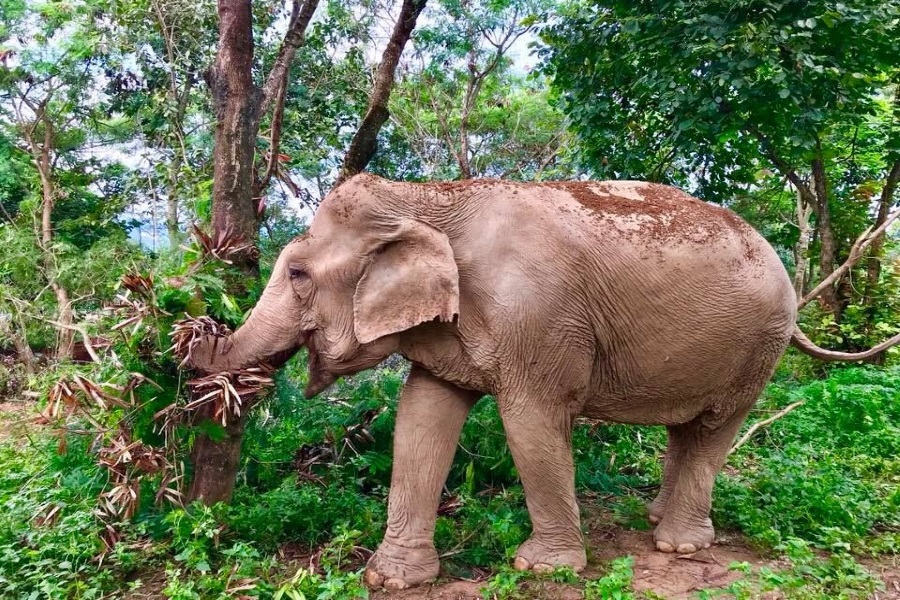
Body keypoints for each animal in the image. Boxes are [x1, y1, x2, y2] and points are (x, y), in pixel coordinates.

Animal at [186, 175, 896, 592]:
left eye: (297, 273)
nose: (188, 336)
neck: (431, 196)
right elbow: (421, 417)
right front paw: (391, 579)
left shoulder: (538, 319)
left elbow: (531, 423)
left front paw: (542, 567)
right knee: (686, 428)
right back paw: (658, 518)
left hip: (756, 345)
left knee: (715, 427)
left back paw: (680, 544)